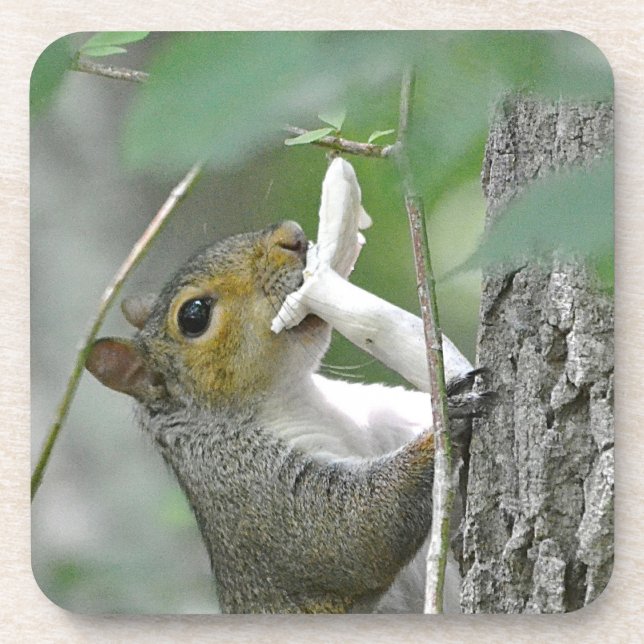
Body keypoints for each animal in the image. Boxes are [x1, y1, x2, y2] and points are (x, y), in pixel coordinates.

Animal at [86, 220, 485, 614]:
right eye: (193, 315)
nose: (291, 236)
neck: (296, 395)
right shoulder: (247, 486)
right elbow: (351, 530)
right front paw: (445, 419)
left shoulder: (379, 415)